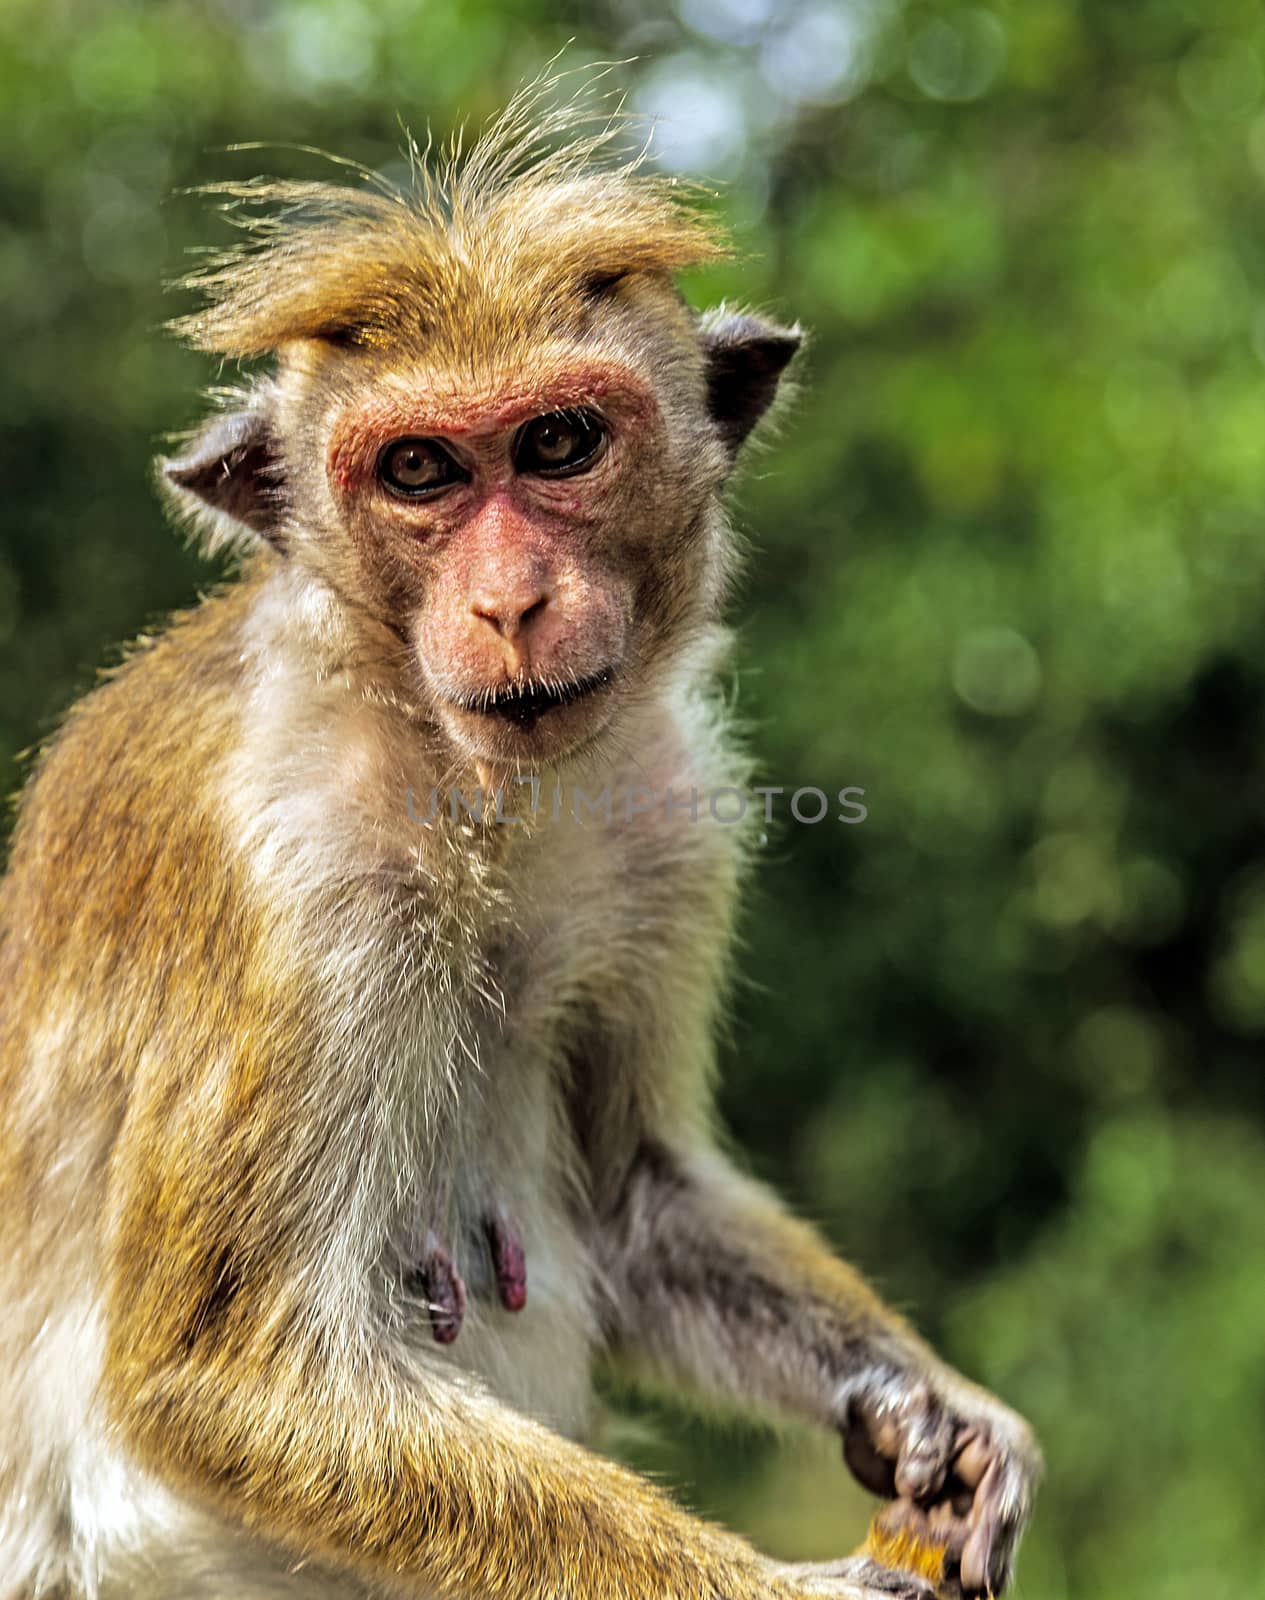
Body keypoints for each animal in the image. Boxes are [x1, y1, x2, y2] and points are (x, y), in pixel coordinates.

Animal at [0, 84, 1036, 1600]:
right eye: (418, 469)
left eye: (556, 445)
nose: (507, 603)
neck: (462, 778)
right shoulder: (292, 887)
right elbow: (227, 1377)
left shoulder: (673, 815)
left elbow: (632, 1199)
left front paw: (926, 1411)